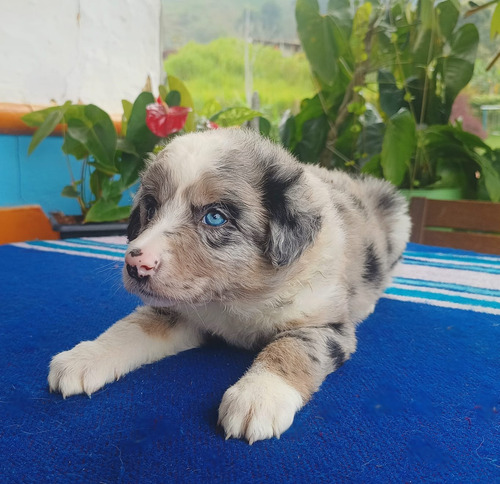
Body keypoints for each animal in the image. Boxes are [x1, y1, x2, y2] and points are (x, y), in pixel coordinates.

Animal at [48, 127, 412, 442]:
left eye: (215, 217)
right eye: (150, 206)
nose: (136, 265)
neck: (236, 298)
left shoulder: (326, 324)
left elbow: (291, 349)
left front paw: (258, 397)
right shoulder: (179, 311)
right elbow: (130, 328)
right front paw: (84, 358)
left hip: (398, 216)